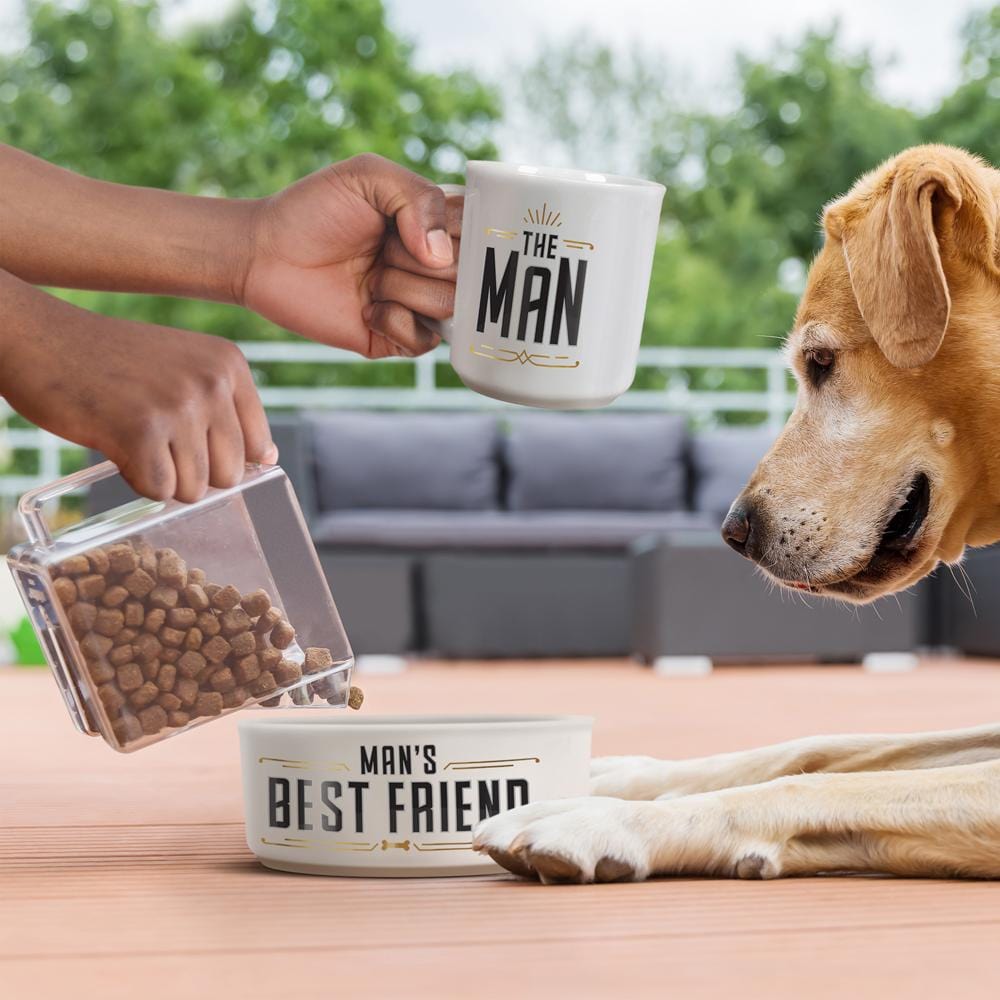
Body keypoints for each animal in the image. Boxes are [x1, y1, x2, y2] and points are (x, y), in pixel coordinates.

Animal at [472, 146, 1000, 884]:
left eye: (820, 361)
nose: (734, 532)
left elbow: (815, 784)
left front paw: (603, 819)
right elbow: (819, 747)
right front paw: (618, 779)